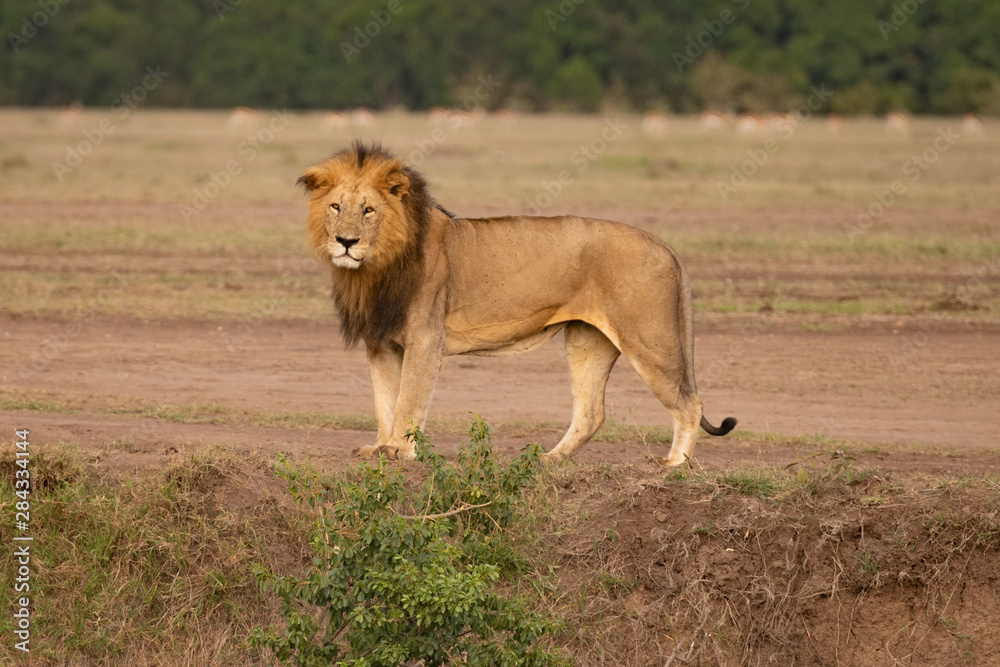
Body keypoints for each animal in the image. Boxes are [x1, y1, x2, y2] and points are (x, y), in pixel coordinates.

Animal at [298, 141, 736, 466]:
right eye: (336, 207)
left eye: (368, 210)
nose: (346, 241)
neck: (376, 268)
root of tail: (664, 244)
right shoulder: (381, 341)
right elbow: (384, 401)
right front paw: (379, 447)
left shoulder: (425, 338)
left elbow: (409, 399)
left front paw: (400, 451)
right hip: (588, 340)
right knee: (592, 412)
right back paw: (550, 460)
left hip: (649, 340)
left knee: (689, 403)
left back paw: (675, 464)